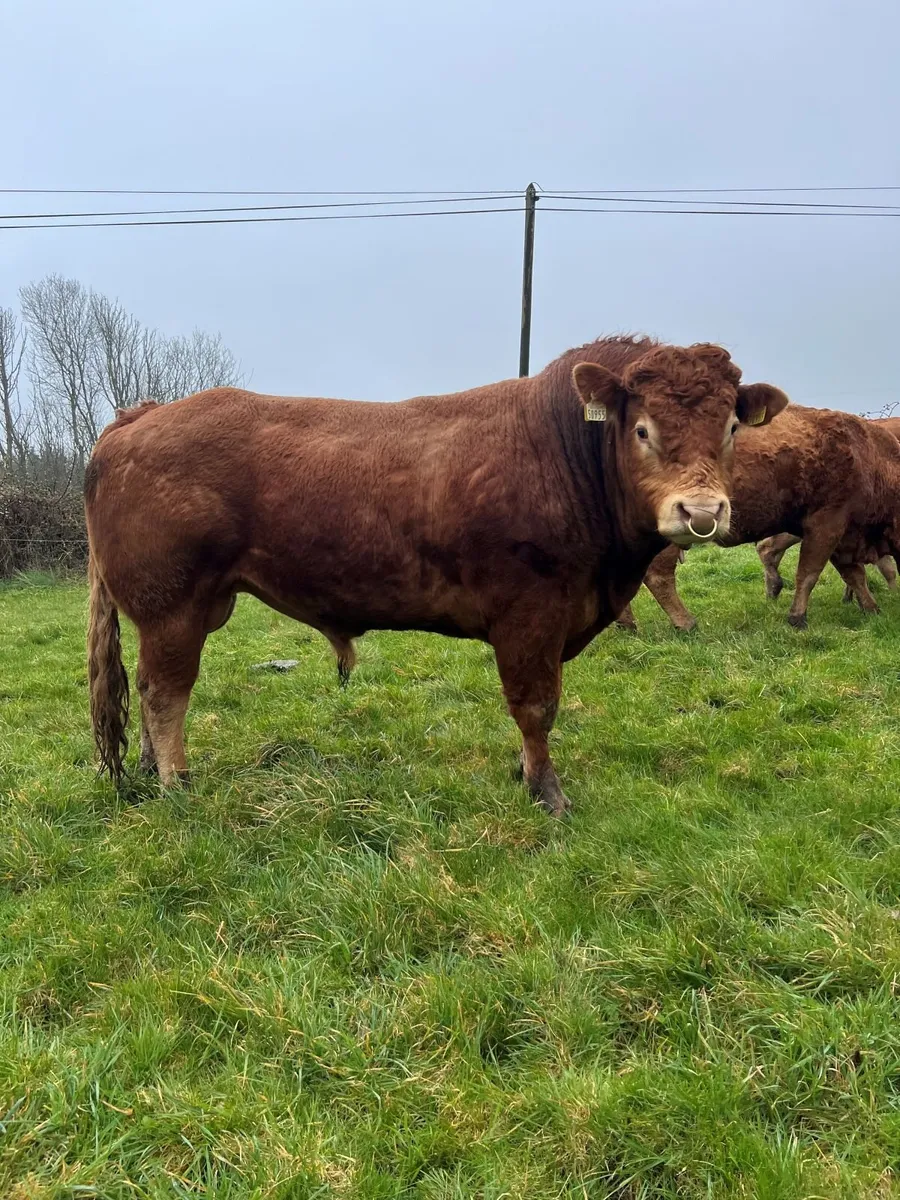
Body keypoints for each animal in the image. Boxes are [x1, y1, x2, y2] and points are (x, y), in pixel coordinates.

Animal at [85, 336, 787, 815]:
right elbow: (536, 706)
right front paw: (547, 793)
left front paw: (523, 774)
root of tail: (140, 416)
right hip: (172, 602)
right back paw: (176, 783)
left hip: (182, 608)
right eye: (641, 428)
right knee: (165, 692)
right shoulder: (529, 614)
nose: (701, 512)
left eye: (730, 426)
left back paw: (148, 771)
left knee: (148, 688)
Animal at [621, 405, 900, 631]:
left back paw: (628, 625)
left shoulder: (842, 537)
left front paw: (871, 608)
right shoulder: (826, 526)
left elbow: (855, 575)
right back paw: (686, 623)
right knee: (658, 576)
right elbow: (809, 574)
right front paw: (797, 618)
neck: (868, 456)